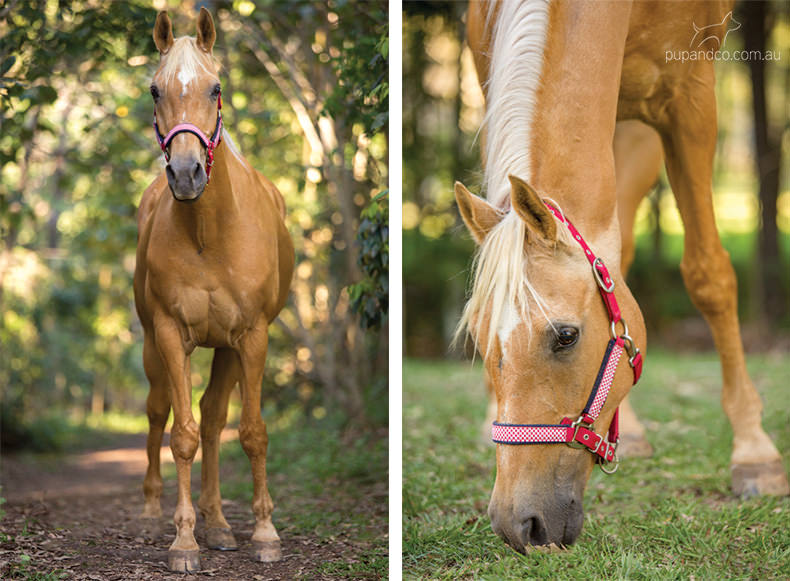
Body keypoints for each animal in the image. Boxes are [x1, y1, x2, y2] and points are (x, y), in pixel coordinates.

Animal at [135, 9, 296, 572]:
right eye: (155, 90)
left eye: (215, 88)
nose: (186, 174)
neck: (209, 232)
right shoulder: (169, 333)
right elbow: (180, 434)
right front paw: (183, 542)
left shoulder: (252, 336)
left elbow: (251, 432)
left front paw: (265, 534)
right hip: (153, 345)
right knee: (161, 411)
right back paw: (156, 512)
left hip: (226, 347)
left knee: (212, 418)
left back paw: (221, 524)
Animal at [458, 0, 790, 552]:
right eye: (481, 343)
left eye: (566, 337)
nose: (517, 526)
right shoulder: (489, 70)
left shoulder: (688, 93)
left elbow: (708, 273)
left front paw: (754, 452)